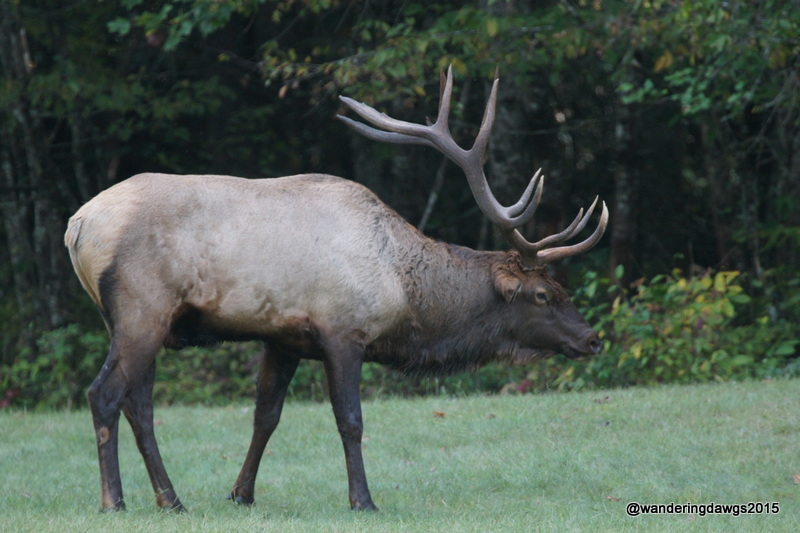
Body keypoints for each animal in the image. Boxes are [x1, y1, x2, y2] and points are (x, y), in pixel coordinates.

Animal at [64, 66, 608, 513]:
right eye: (544, 295)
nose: (592, 339)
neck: (403, 293)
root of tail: (77, 225)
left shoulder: (281, 337)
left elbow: (266, 416)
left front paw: (241, 493)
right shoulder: (343, 331)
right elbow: (350, 419)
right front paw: (363, 500)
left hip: (139, 321)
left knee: (140, 405)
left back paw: (171, 500)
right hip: (141, 309)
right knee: (104, 394)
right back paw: (114, 501)